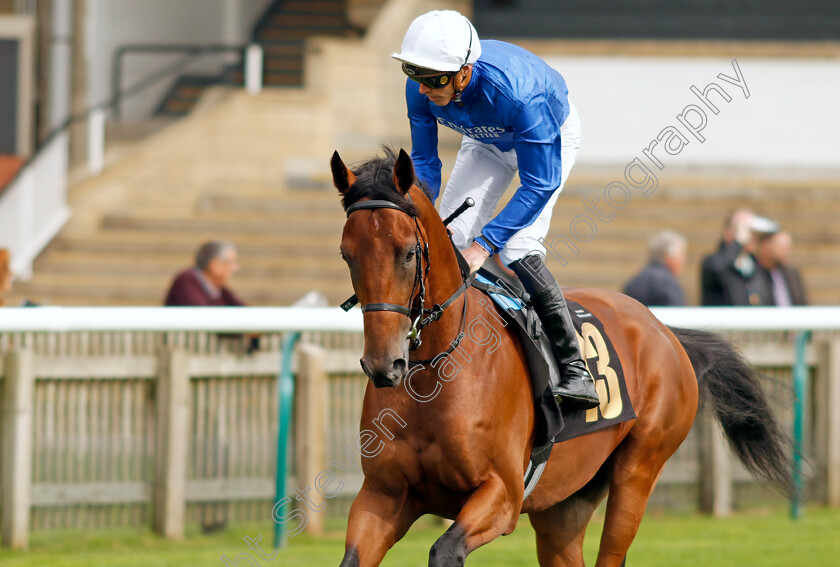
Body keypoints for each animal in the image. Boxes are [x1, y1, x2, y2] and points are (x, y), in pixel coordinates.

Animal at [330, 150, 796, 567]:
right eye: (346, 254)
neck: (436, 372)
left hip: (639, 468)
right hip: (565, 502)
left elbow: (444, 550)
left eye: (408, 252)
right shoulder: (383, 496)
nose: (383, 365)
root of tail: (663, 329)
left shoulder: (502, 495)